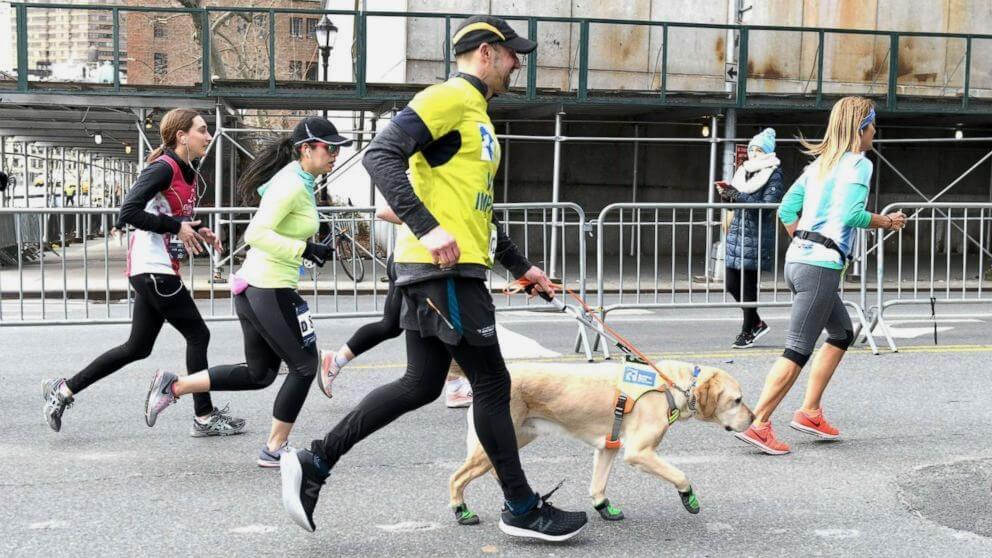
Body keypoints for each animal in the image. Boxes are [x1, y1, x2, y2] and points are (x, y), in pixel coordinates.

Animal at [448, 360, 752, 528]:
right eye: (737, 400)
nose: (754, 418)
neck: (672, 387)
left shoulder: (608, 447)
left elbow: (598, 485)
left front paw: (603, 507)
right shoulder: (638, 452)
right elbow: (680, 474)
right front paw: (688, 497)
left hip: (514, 439)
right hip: (488, 447)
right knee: (456, 478)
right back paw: (461, 511)